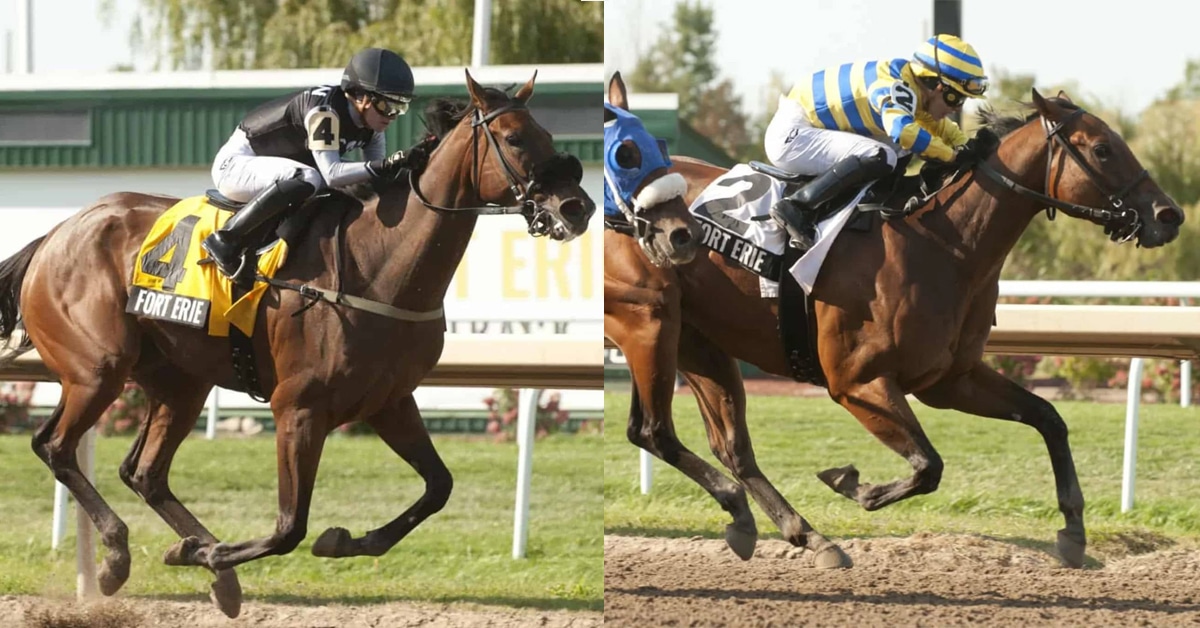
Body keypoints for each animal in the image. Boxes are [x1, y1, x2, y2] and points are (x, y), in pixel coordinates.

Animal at [0, 70, 593, 617]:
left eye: (545, 133)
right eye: (515, 139)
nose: (576, 208)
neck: (380, 265)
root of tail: (55, 235)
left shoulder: (389, 401)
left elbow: (437, 487)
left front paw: (339, 541)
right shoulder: (299, 407)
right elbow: (289, 526)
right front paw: (205, 554)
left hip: (180, 381)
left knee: (144, 472)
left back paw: (211, 569)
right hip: (99, 367)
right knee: (55, 446)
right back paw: (120, 555)